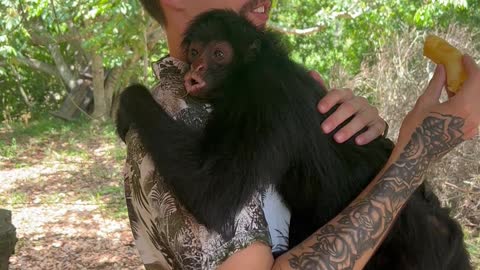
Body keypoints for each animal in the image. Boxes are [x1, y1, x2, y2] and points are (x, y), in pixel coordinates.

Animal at [117, 9, 472, 268]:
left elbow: (214, 196)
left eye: (218, 53)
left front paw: (130, 97)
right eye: (194, 51)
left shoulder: (267, 95)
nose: (198, 67)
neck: (248, 71)